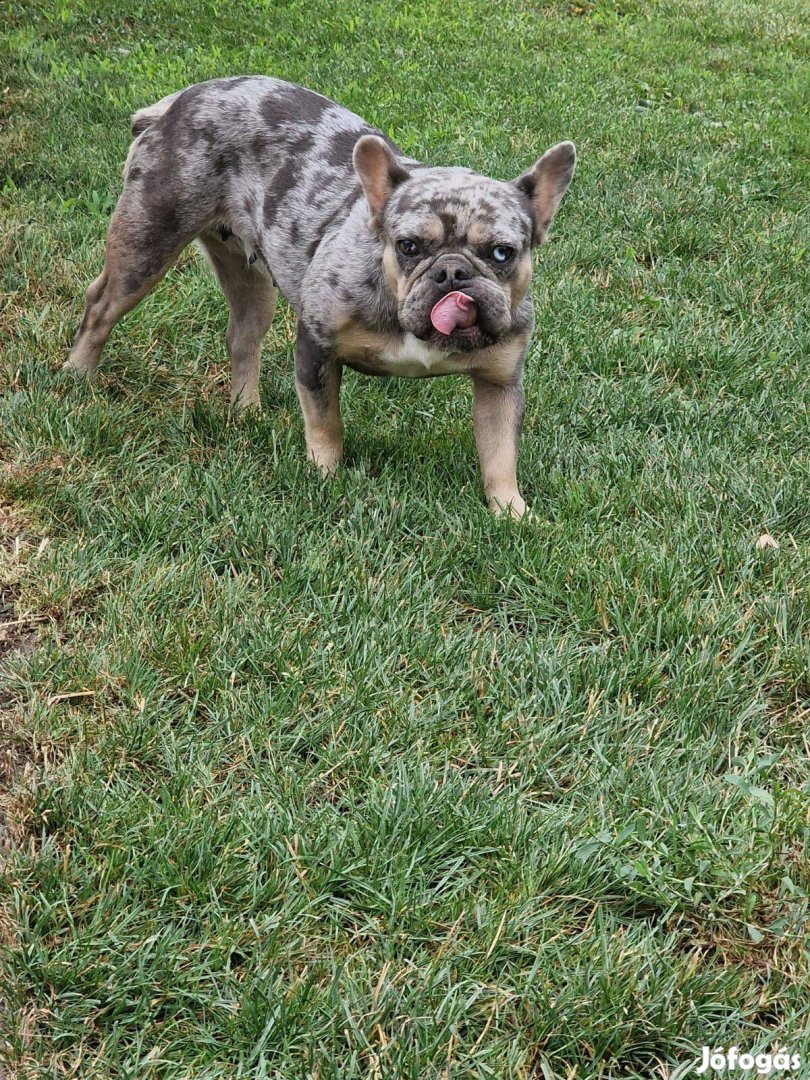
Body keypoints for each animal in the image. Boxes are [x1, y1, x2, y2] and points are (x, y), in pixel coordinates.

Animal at [69, 78, 578, 516]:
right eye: (408, 246)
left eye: (502, 252)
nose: (452, 272)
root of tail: (175, 103)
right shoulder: (316, 347)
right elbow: (324, 420)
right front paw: (326, 477)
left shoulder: (500, 382)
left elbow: (499, 452)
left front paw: (512, 513)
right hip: (148, 242)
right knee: (100, 307)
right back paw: (77, 377)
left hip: (251, 280)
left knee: (242, 337)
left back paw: (247, 411)